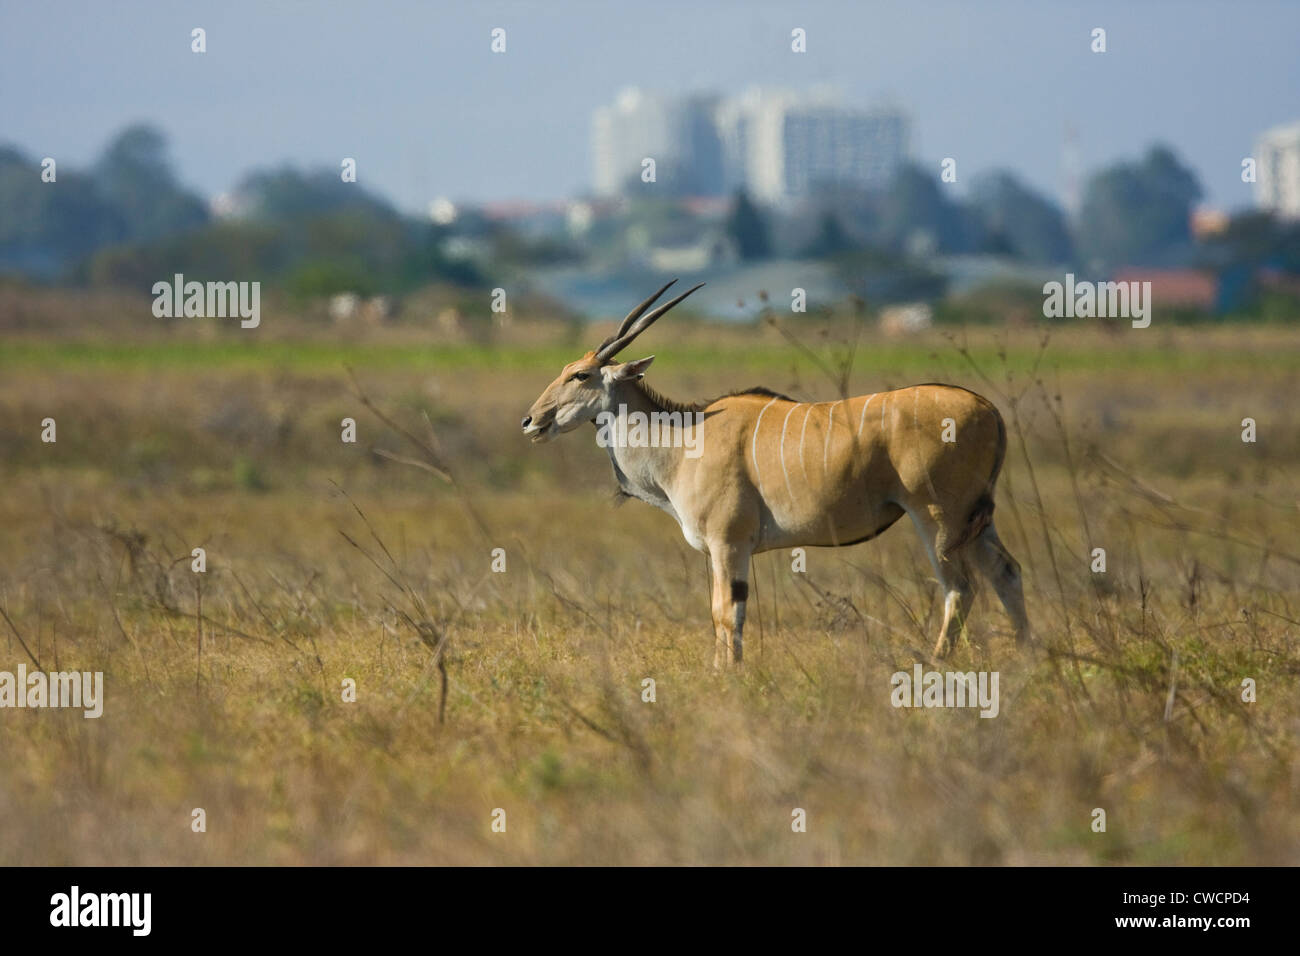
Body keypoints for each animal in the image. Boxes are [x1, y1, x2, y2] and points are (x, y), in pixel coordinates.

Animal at [522, 280, 1029, 671]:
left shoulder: (728, 544)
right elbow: (721, 612)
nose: (531, 421)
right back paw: (1029, 658)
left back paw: (936, 663)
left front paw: (728, 676)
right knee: (1006, 573)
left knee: (960, 587)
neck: (684, 439)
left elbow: (726, 613)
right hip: (974, 522)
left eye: (581, 375)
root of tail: (988, 409)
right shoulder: (720, 551)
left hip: (937, 519)